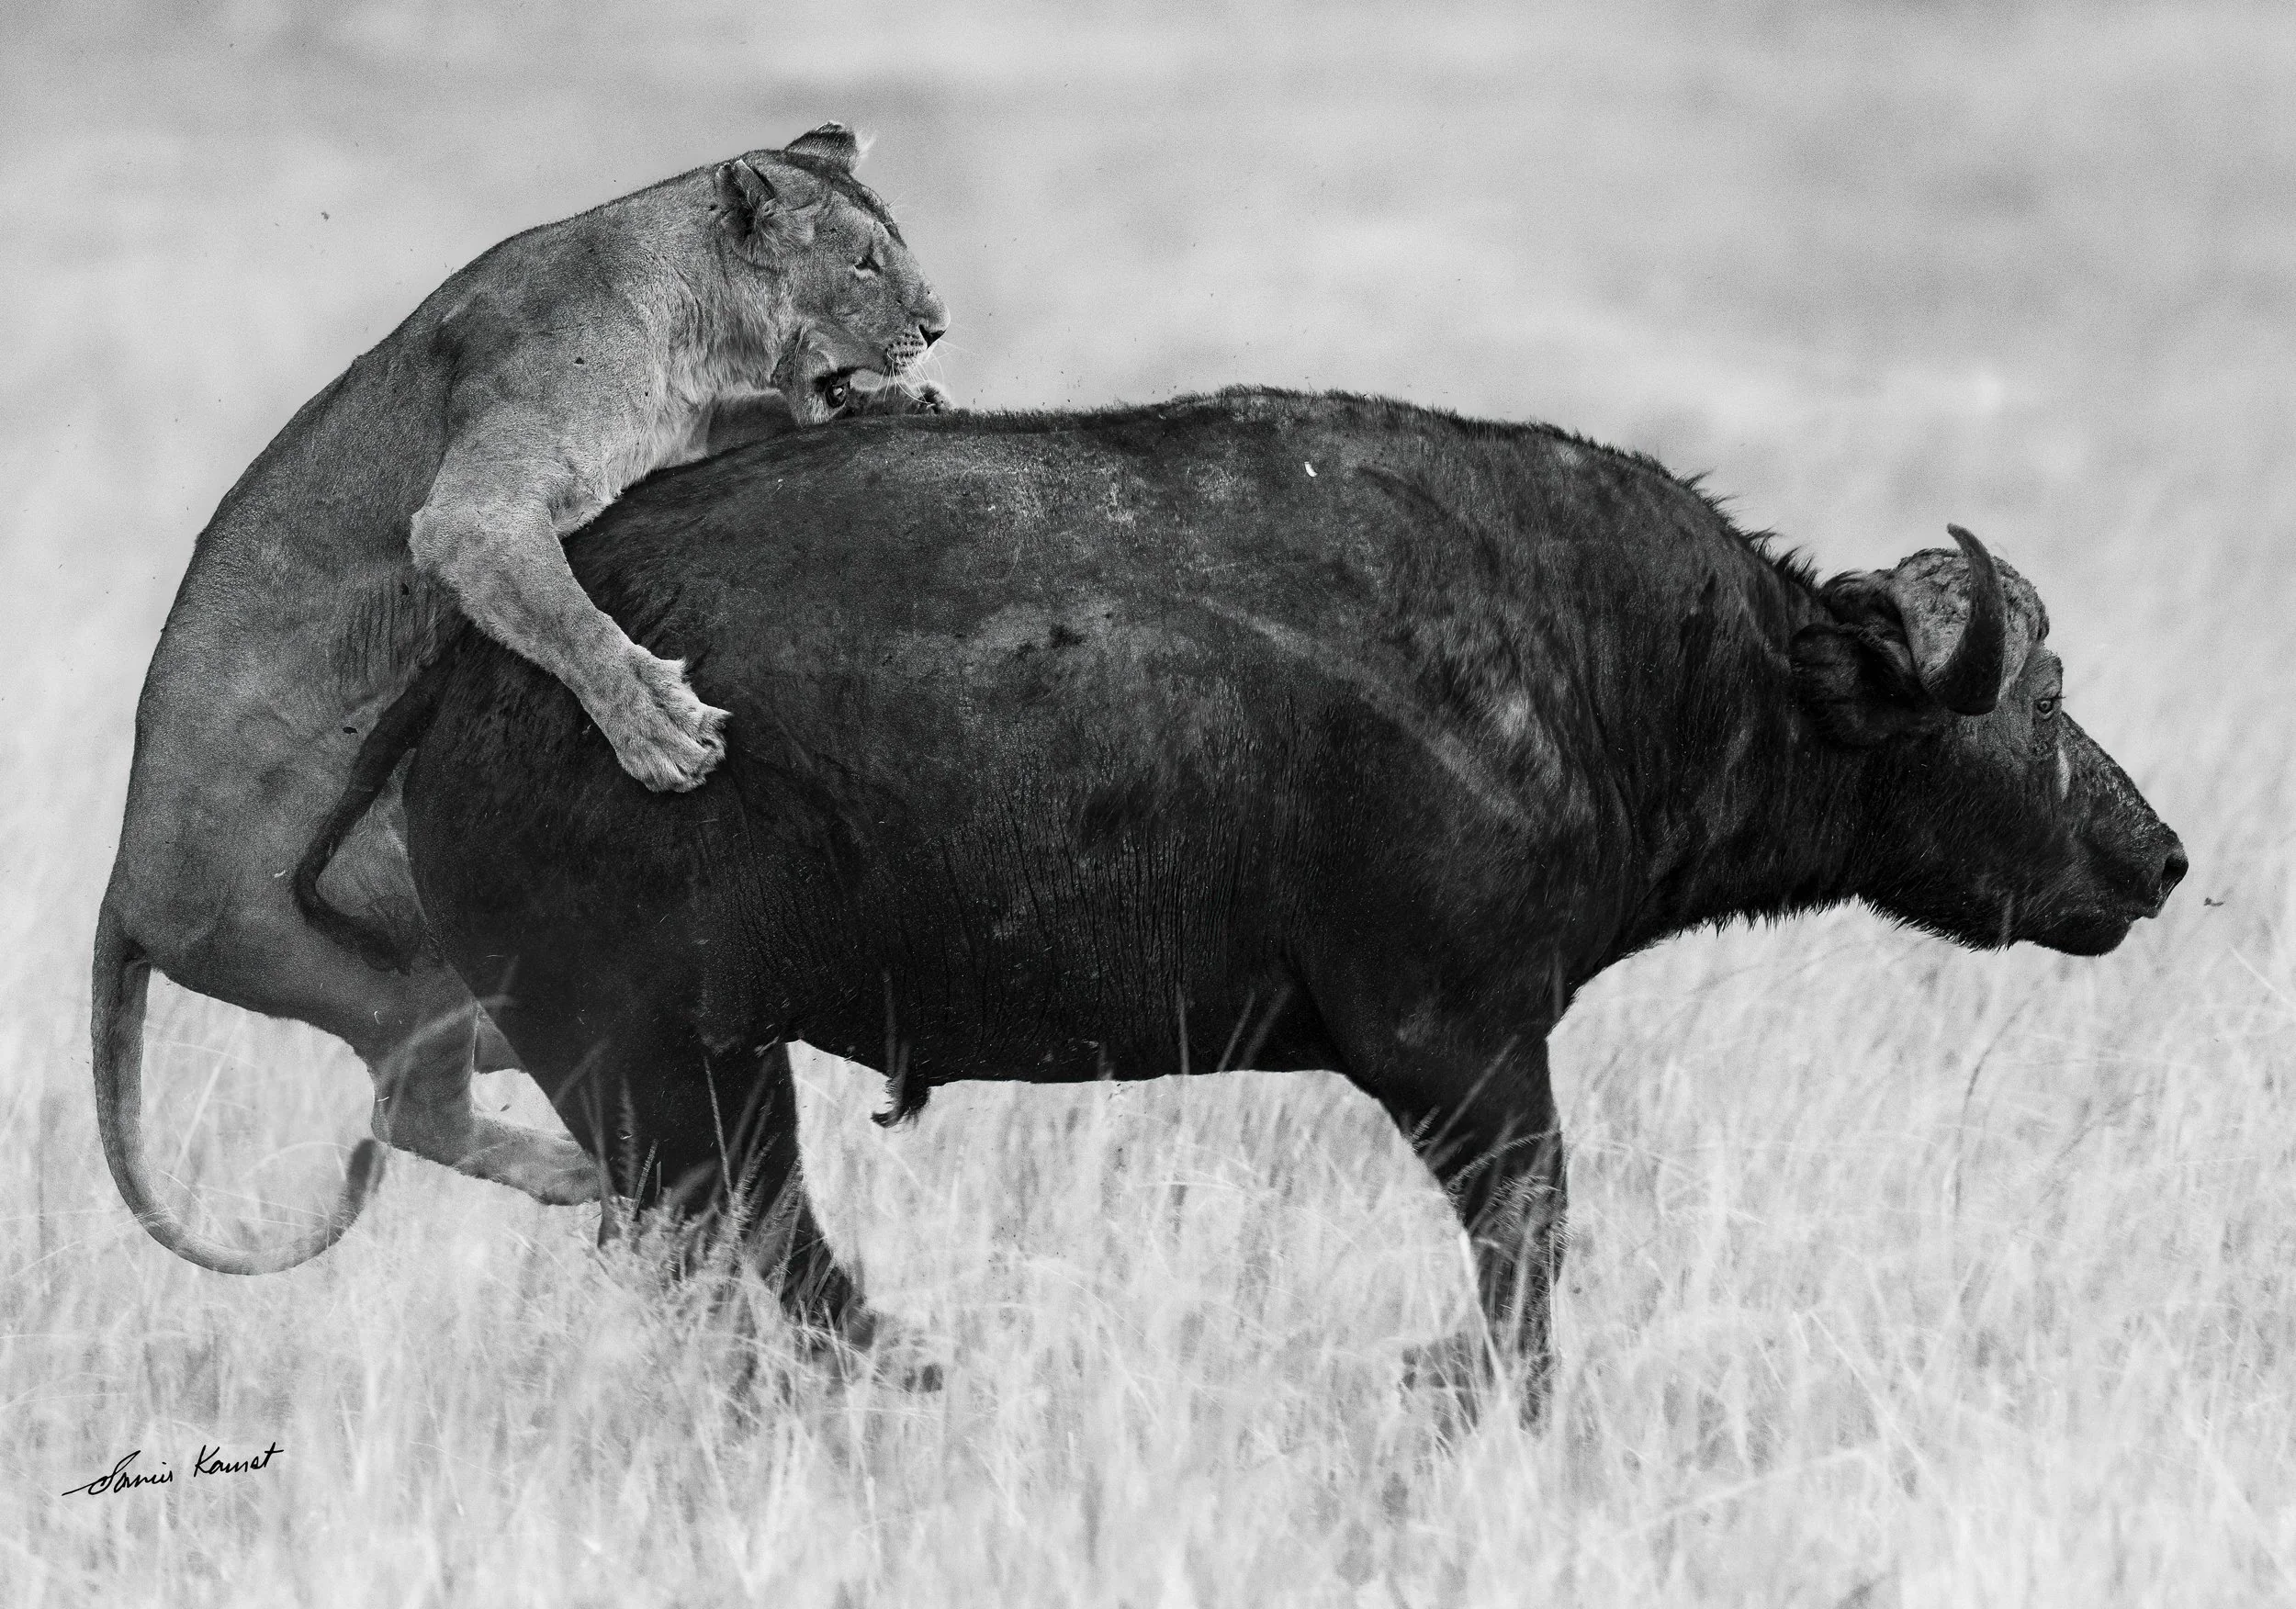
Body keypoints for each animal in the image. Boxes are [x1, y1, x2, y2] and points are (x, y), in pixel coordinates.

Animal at [92, 124, 948, 1273]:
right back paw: (584, 1169)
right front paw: (660, 733)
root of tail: (119, 895)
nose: (936, 330)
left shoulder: (681, 430)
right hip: (382, 961)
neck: (683, 319)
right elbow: (566, 617)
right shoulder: (475, 513)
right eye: (861, 263)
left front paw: (907, 405)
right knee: (412, 1117)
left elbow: (764, 418)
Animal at [309, 388, 2184, 1410]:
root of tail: (467, 676)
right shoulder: (1461, 1051)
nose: (2158, 858)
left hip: (712, 1072)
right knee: (750, 1263)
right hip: (641, 1065)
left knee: (771, 1264)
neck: (1614, 664)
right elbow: (1532, 1252)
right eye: (2038, 693)